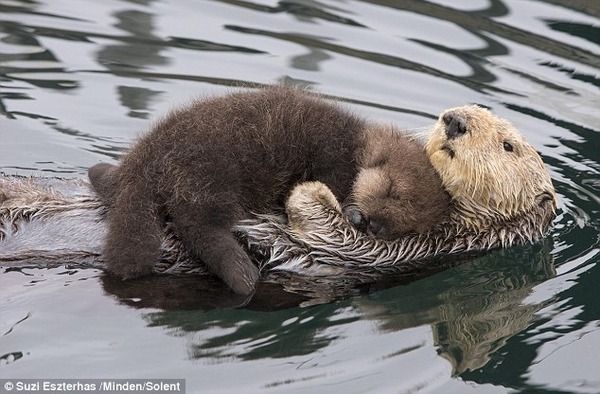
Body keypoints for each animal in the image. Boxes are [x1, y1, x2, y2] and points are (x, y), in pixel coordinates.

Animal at [88, 87, 450, 296]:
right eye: (391, 190)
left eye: (398, 226)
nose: (372, 223)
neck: (357, 144)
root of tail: (146, 164)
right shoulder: (334, 158)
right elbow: (335, 181)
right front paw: (352, 211)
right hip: (211, 176)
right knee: (199, 227)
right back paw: (242, 275)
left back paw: (99, 174)